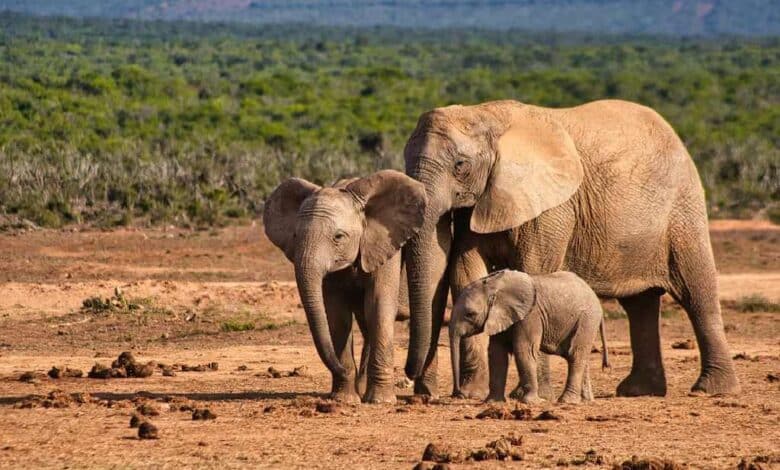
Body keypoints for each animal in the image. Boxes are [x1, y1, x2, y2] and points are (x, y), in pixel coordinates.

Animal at [264, 170, 426, 404]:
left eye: (338, 237)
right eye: (295, 236)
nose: (341, 369)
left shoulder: (386, 247)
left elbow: (378, 305)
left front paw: (381, 401)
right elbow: (337, 314)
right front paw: (345, 400)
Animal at [450, 270, 608, 406]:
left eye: (470, 314)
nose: (459, 394)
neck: (494, 285)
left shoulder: (530, 315)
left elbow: (524, 350)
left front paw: (532, 402)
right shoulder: (501, 316)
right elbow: (497, 353)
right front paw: (493, 403)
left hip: (587, 320)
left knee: (575, 354)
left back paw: (567, 401)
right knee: (580, 356)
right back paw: (586, 400)